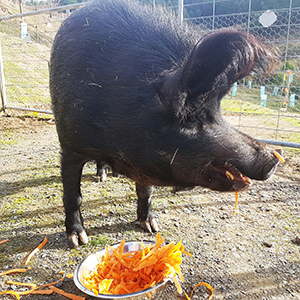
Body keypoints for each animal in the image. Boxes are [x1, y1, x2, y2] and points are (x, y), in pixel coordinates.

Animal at [49, 0, 282, 247]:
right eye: (190, 117)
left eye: (217, 111)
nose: (275, 156)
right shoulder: (70, 146)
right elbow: (73, 196)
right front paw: (77, 239)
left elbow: (146, 191)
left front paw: (151, 226)